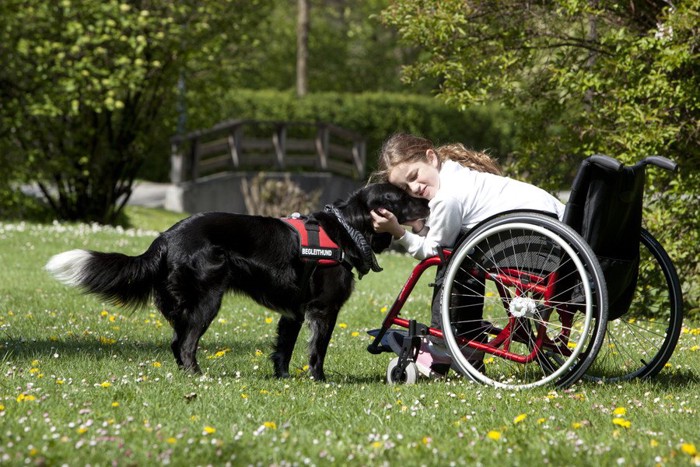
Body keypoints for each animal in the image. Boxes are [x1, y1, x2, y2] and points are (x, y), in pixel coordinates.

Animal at [45, 183, 426, 380]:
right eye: (402, 198)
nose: (426, 199)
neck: (346, 229)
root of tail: (166, 238)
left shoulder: (293, 312)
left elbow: (283, 349)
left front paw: (283, 380)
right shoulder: (323, 309)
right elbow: (317, 351)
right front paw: (319, 381)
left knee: (176, 342)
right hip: (207, 299)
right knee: (186, 344)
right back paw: (198, 376)